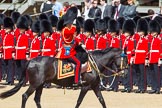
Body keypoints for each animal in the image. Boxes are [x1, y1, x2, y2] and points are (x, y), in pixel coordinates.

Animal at [0, 46, 128, 108]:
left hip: (40, 84)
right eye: (125, 58)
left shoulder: (95, 86)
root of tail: (31, 60)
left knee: (37, 99)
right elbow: (79, 101)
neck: (95, 62)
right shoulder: (86, 86)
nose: (125, 73)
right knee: (25, 96)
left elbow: (102, 101)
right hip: (35, 84)